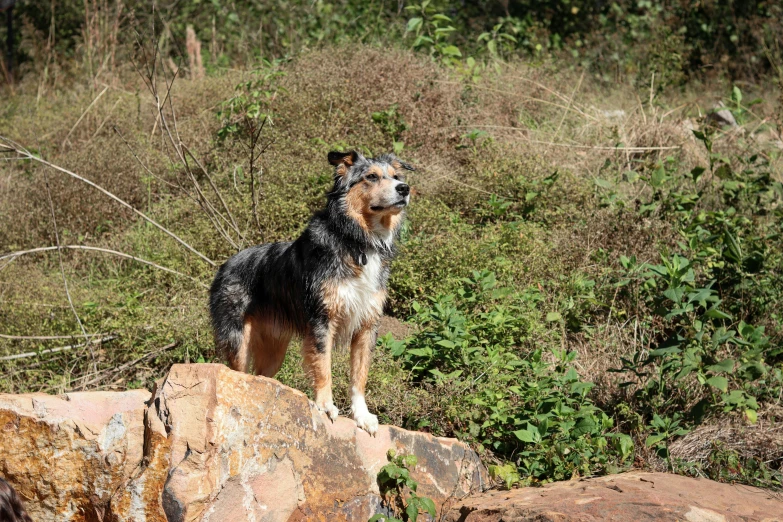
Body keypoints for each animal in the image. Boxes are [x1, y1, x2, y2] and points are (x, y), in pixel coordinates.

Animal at [211, 149, 414, 430]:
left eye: (396, 176)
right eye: (371, 177)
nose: (404, 188)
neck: (359, 241)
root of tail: (224, 265)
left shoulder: (367, 325)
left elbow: (359, 376)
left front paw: (362, 415)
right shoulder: (322, 320)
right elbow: (323, 366)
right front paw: (325, 406)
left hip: (274, 351)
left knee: (261, 377)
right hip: (238, 341)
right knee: (239, 373)